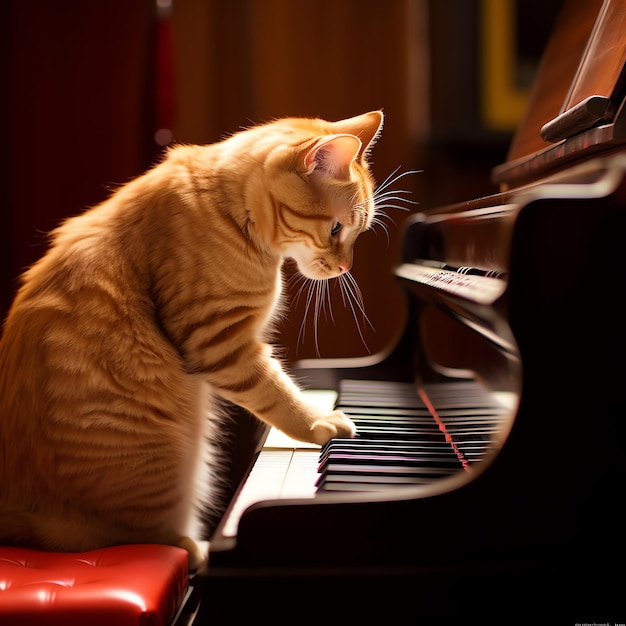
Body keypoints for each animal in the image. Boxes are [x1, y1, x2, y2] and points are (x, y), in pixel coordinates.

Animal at [0, 111, 386, 572]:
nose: (345, 267)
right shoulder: (221, 342)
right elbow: (277, 394)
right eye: (335, 228)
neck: (222, 206)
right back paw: (195, 547)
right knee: (125, 536)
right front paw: (319, 422)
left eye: (357, 232)